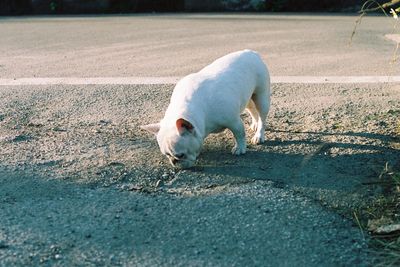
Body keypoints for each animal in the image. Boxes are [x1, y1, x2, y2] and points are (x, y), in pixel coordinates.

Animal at [142, 49, 270, 169]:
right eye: (167, 155)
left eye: (181, 155)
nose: (174, 162)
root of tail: (250, 52)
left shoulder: (233, 121)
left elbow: (239, 134)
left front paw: (240, 148)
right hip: (247, 97)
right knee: (252, 110)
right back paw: (255, 124)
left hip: (262, 97)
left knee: (262, 117)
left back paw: (259, 135)